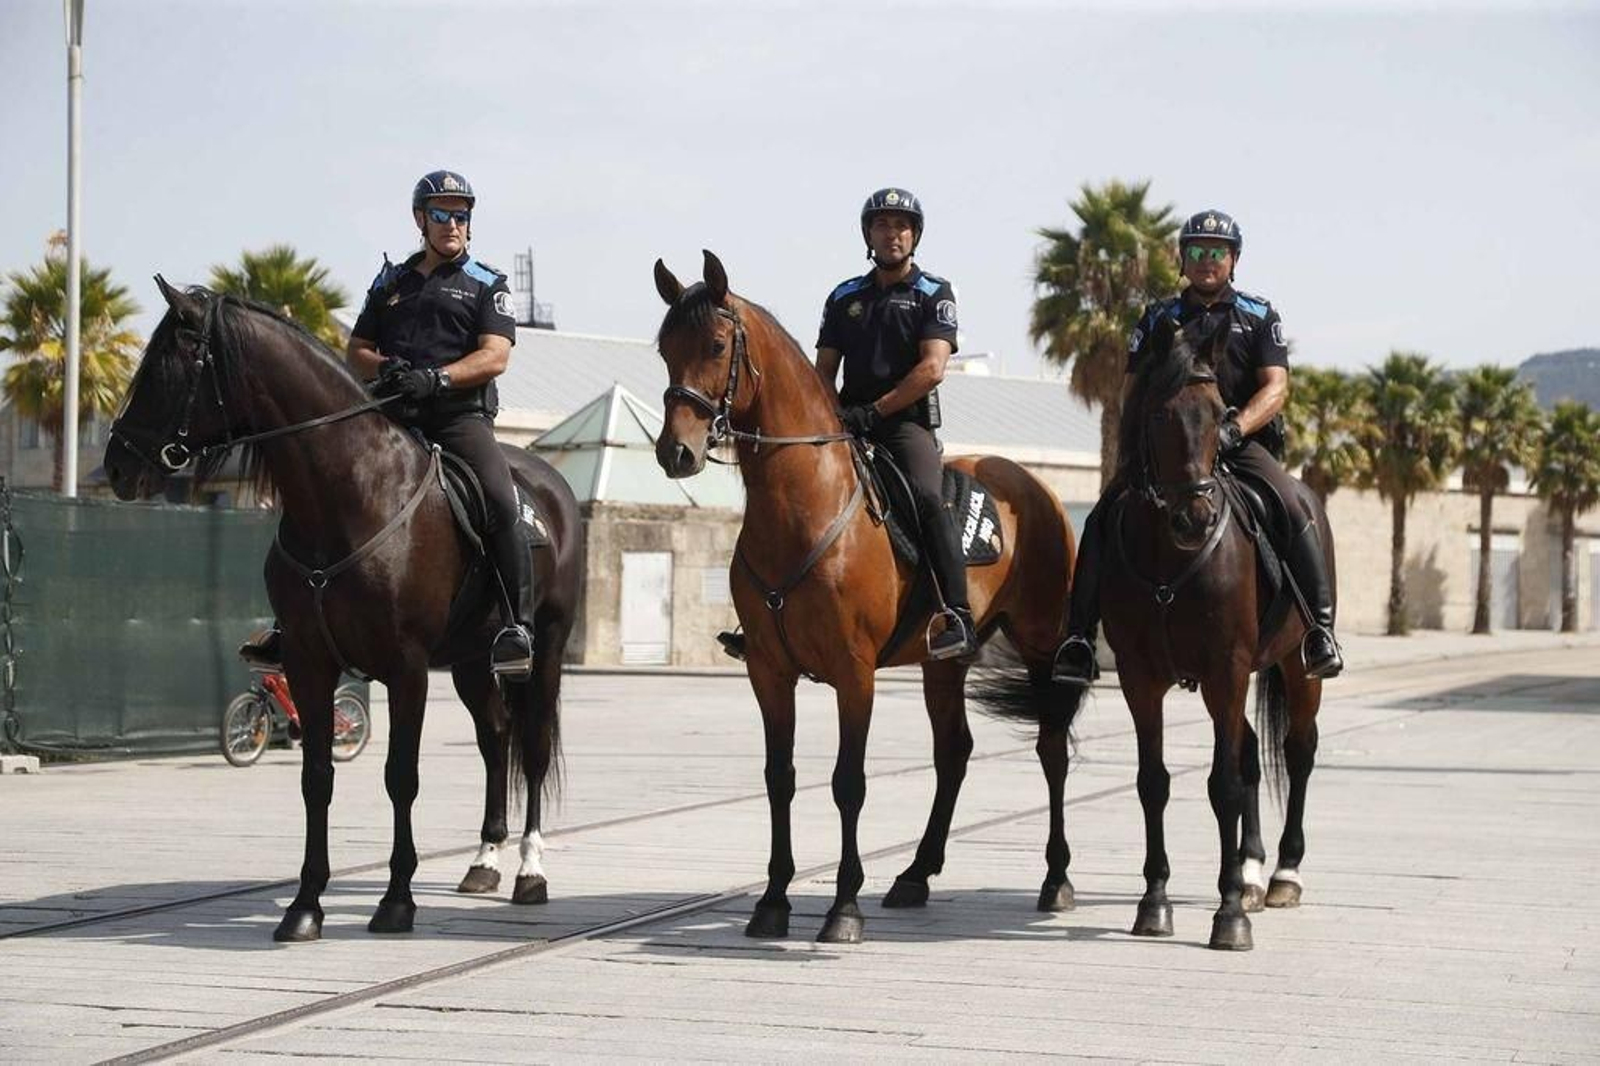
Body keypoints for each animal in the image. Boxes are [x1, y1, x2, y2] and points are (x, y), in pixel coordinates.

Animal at [103, 279, 583, 942]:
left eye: (165, 370)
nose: (117, 466)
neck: (349, 493)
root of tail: (549, 483)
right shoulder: (310, 663)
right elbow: (317, 778)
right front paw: (305, 905)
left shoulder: (407, 669)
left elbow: (400, 777)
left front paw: (397, 901)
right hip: (468, 662)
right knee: (494, 738)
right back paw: (484, 860)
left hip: (545, 653)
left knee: (531, 746)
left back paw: (530, 871)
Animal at [652, 251, 1080, 944]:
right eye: (665, 348)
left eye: (716, 345)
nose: (676, 452)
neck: (805, 505)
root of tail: (1030, 485)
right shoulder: (769, 673)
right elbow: (780, 779)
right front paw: (772, 900)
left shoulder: (855, 674)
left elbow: (847, 783)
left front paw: (843, 907)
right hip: (944, 662)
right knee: (953, 752)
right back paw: (916, 875)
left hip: (1042, 643)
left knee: (1050, 748)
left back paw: (1056, 880)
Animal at [1082, 312, 1330, 951]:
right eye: (1158, 416)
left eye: (1221, 413)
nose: (1195, 518)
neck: (1170, 559)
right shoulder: (1142, 679)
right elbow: (1154, 782)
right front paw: (1155, 902)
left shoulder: (1226, 669)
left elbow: (1222, 786)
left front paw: (1230, 916)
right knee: (1250, 756)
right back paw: (1251, 872)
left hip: (1295, 668)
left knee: (1297, 751)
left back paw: (1283, 876)